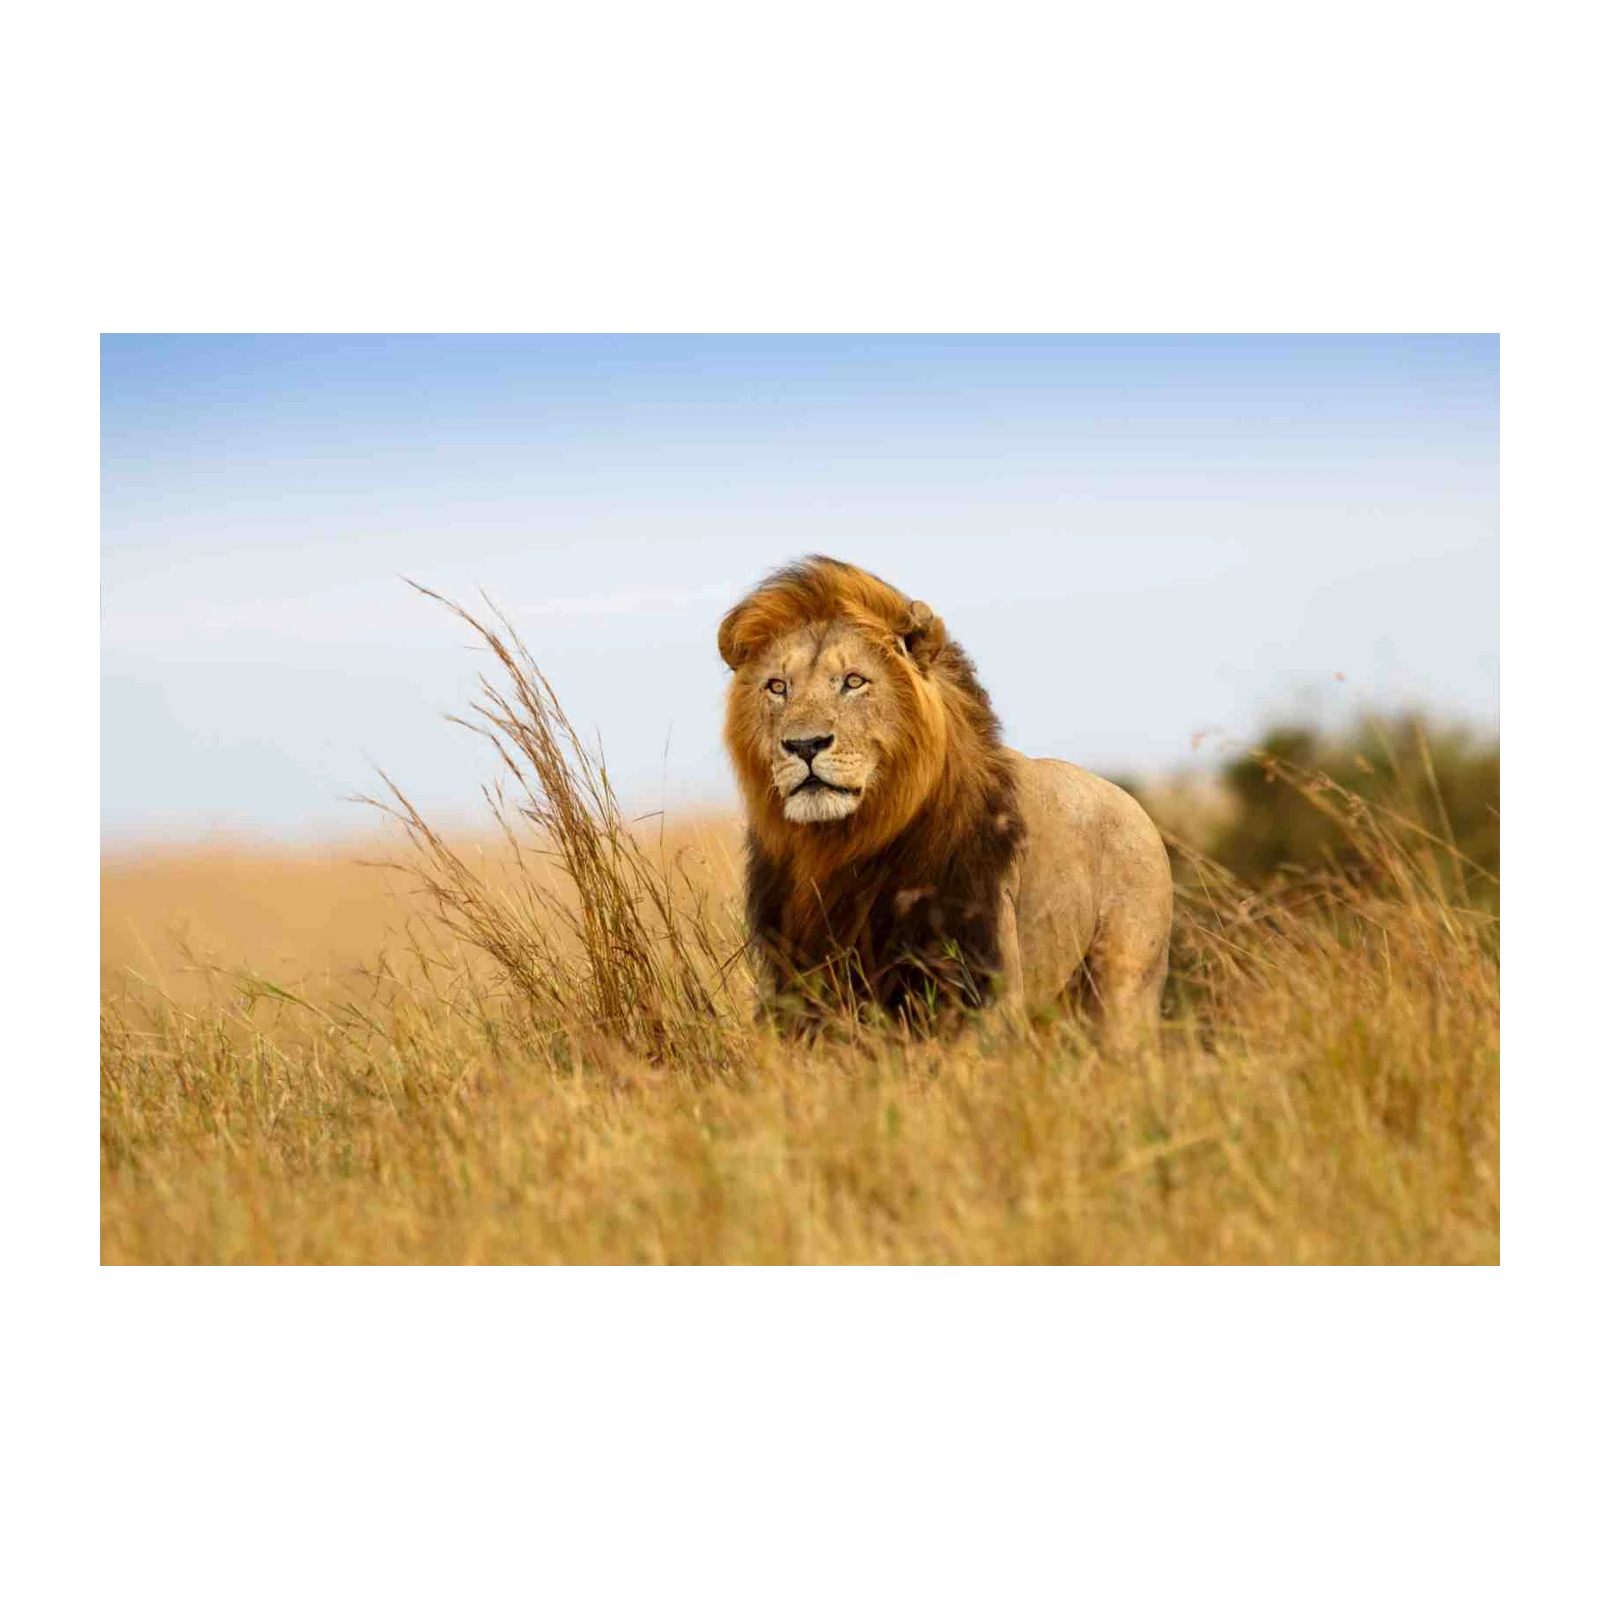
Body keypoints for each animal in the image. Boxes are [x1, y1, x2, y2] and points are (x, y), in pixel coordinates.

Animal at [718, 555, 1173, 1045]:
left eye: (854, 681)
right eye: (777, 687)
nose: (804, 745)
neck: (843, 845)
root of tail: (1135, 807)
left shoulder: (981, 979)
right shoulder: (799, 980)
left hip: (1124, 987)